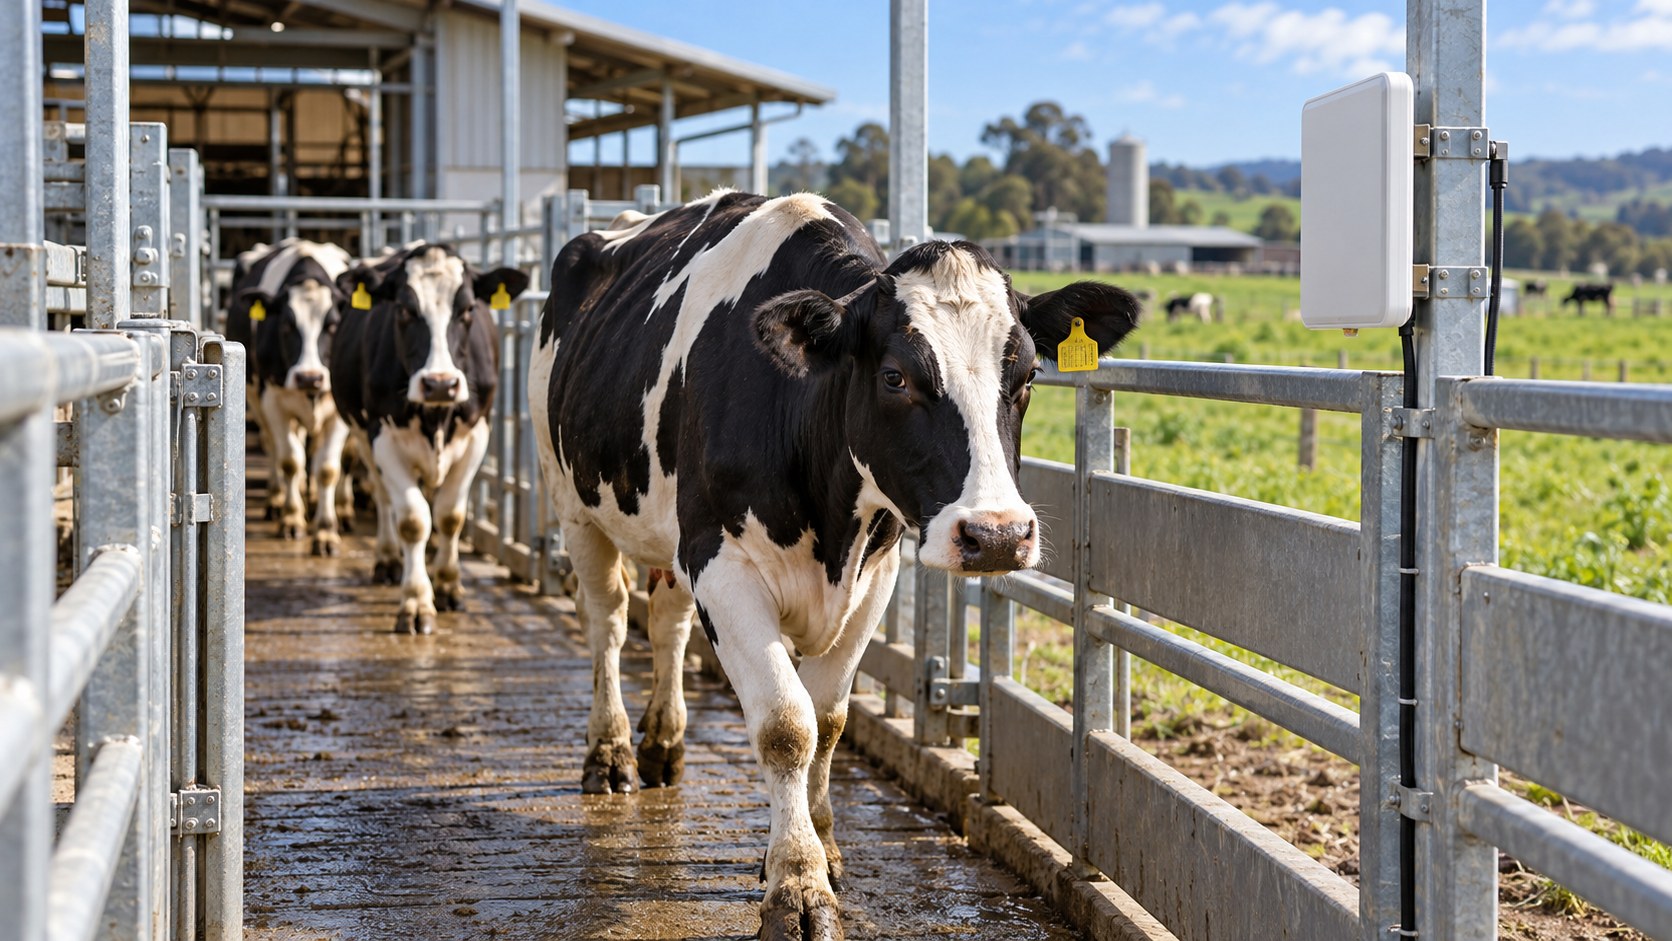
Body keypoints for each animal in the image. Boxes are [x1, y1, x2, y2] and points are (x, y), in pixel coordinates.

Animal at [225, 239, 357, 555]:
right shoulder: (272, 400)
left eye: (332, 325)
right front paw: (292, 519)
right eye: (286, 325)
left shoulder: (337, 412)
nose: (309, 377)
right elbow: (290, 461)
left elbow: (327, 468)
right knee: (274, 447)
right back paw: (276, 500)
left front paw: (325, 532)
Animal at [329, 243, 529, 634]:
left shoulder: (477, 435)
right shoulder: (382, 437)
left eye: (467, 309)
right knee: (383, 498)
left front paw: (449, 584)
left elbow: (450, 515)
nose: (440, 384)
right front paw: (416, 602)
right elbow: (412, 520)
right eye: (405, 309)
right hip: (362, 436)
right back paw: (389, 560)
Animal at [530, 190, 1139, 940]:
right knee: (609, 623)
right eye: (895, 377)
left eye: (1025, 377)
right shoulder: (721, 563)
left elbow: (829, 719)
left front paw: (822, 846)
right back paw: (610, 751)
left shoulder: (872, 576)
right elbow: (787, 724)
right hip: (574, 504)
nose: (997, 534)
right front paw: (797, 887)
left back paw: (663, 744)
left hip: (665, 534)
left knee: (666, 624)